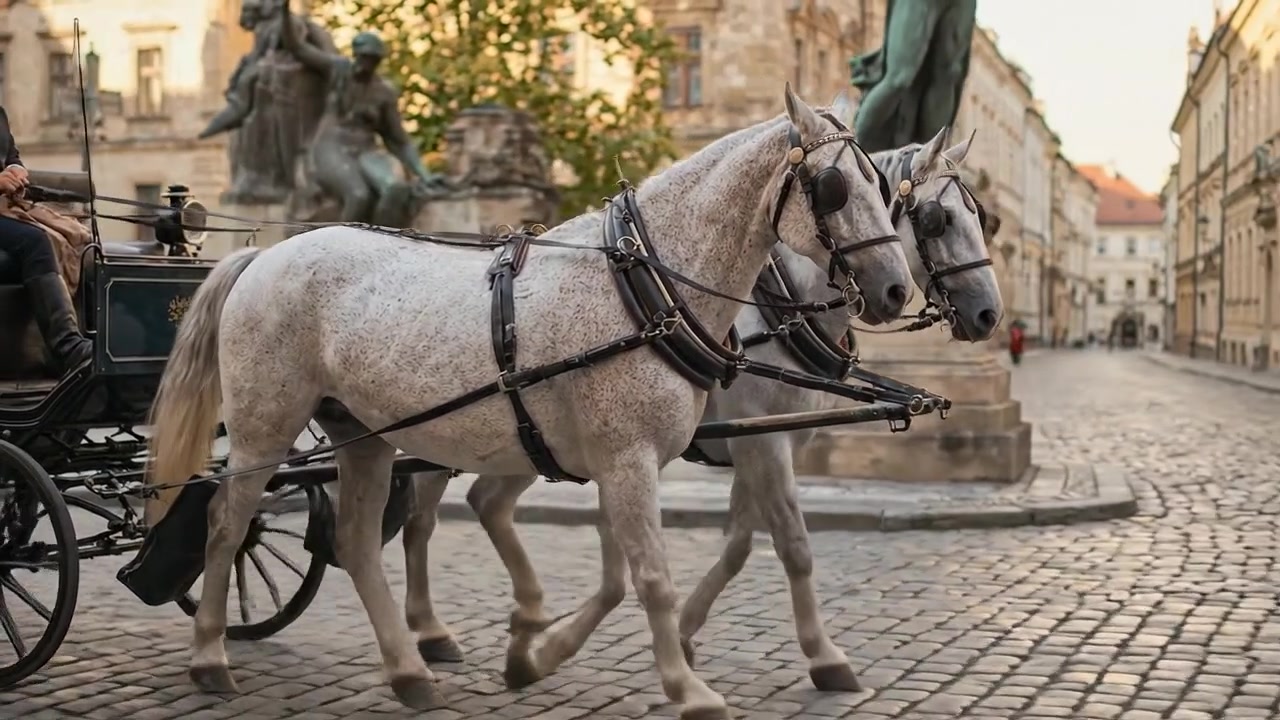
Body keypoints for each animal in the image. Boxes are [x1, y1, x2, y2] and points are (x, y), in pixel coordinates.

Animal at [146, 86, 915, 719]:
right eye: (834, 188)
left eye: (882, 186)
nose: (896, 290)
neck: (646, 287)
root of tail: (265, 254)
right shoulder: (634, 457)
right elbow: (655, 577)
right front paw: (688, 688)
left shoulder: (626, 460)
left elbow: (635, 572)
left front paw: (537, 652)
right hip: (264, 425)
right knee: (227, 522)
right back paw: (211, 656)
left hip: (366, 432)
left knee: (359, 542)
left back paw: (408, 669)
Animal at [395, 122, 1002, 694]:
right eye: (938, 220)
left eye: (981, 218)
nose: (989, 315)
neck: (779, 309)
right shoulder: (761, 444)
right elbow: (792, 544)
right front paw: (823, 657)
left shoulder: (756, 444)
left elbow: (738, 544)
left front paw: (684, 633)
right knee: (422, 518)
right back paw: (430, 631)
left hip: (527, 439)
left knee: (485, 502)